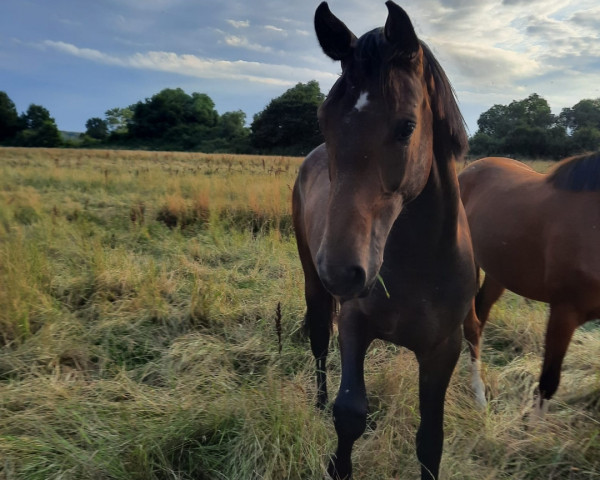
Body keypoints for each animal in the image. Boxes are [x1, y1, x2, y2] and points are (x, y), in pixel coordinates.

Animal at [292, 1, 476, 478]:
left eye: (406, 127)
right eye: (323, 120)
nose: (342, 271)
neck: (419, 262)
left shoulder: (443, 349)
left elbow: (430, 441)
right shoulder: (354, 323)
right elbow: (349, 413)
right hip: (313, 285)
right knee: (318, 340)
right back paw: (317, 402)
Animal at [460, 155, 600, 416]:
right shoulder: (564, 312)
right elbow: (547, 383)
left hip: (499, 272)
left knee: (480, 315)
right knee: (471, 325)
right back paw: (478, 394)